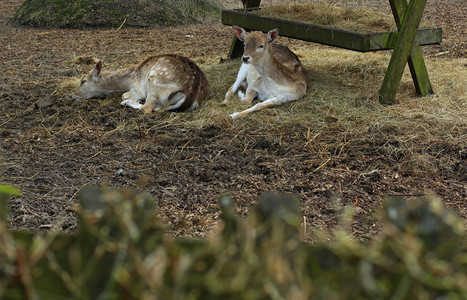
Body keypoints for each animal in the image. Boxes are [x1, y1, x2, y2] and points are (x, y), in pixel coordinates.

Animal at [72, 54, 209, 113]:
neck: (129, 79)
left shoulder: (138, 88)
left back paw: (128, 103)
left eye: (83, 81)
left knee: (147, 108)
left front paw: (130, 99)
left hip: (155, 81)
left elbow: (124, 95)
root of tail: (191, 96)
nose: (73, 96)